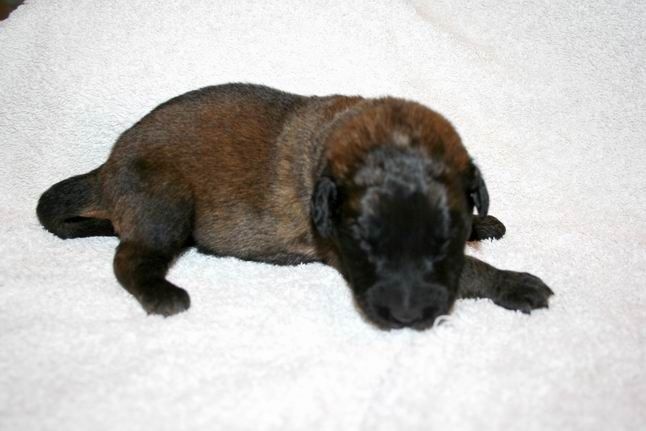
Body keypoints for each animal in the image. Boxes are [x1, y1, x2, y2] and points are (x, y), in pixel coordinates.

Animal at [37, 83, 553, 330]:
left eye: (443, 237)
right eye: (365, 244)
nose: (406, 317)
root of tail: (105, 169)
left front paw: (482, 223)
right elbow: (471, 271)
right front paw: (515, 283)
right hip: (167, 205)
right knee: (128, 258)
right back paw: (162, 294)